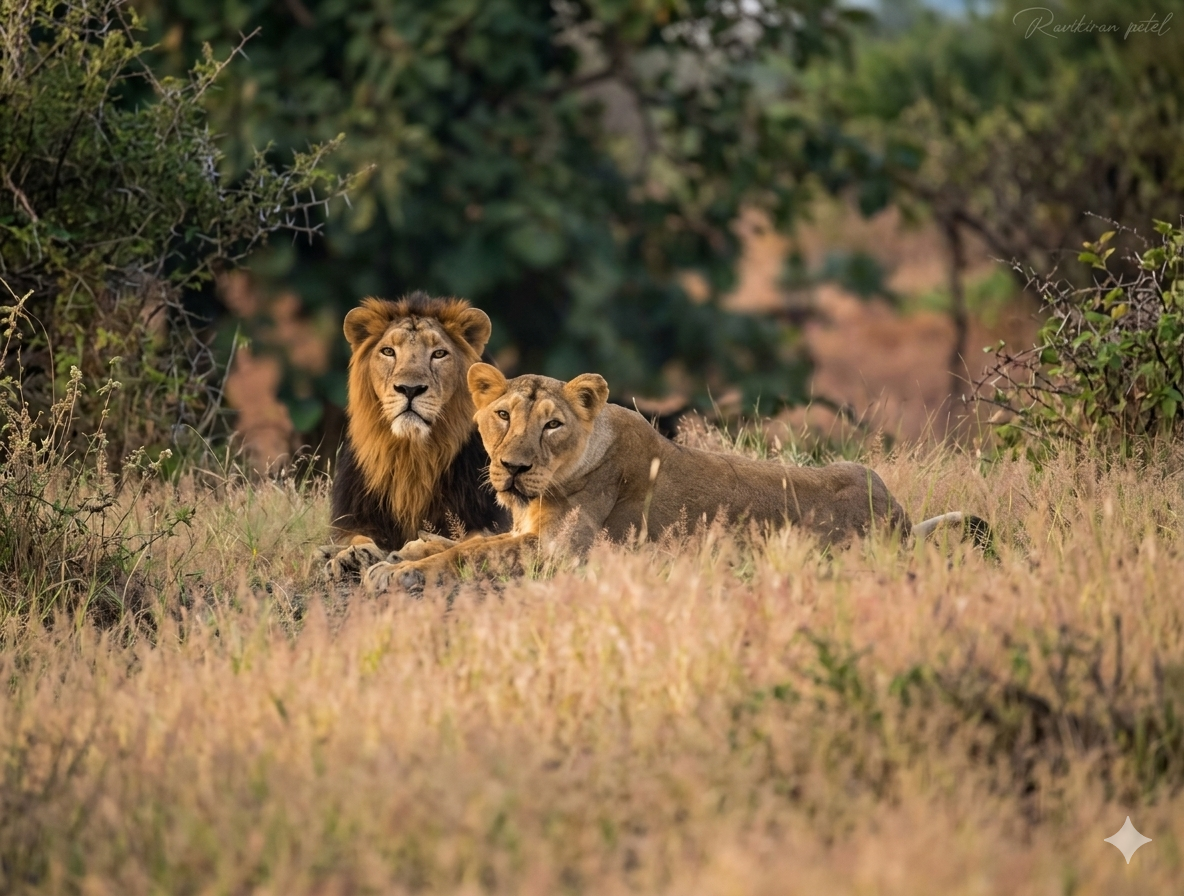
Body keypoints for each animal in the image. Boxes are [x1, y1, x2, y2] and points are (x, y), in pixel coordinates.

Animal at [317, 294, 510, 580]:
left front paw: (415, 550)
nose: (410, 389)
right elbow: (354, 537)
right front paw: (350, 556)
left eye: (439, 354)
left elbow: (471, 541)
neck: (411, 453)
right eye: (388, 351)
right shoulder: (354, 517)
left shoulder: (491, 520)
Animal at [363, 365, 990, 595]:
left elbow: (472, 553)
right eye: (501, 415)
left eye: (552, 425)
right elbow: (474, 538)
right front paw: (408, 549)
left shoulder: (559, 554)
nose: (514, 467)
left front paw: (396, 571)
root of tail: (900, 520)